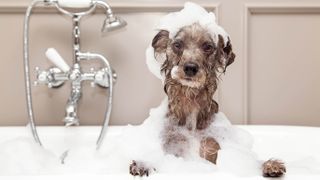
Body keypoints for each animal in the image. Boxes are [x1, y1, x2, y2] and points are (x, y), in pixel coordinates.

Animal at [130, 11, 284, 179]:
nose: (190, 67)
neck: (190, 102)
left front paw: (268, 165)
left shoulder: (214, 145)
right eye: (177, 45)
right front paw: (145, 164)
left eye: (208, 47)